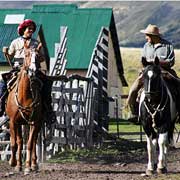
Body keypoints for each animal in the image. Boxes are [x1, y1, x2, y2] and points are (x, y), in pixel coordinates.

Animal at [5, 46, 43, 174]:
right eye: (26, 55)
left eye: (38, 55)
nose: (33, 71)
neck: (24, 96)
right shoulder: (13, 122)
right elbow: (15, 143)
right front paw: (14, 163)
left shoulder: (35, 122)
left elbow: (30, 144)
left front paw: (27, 166)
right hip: (21, 123)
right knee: (20, 141)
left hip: (36, 123)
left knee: (34, 140)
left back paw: (34, 164)